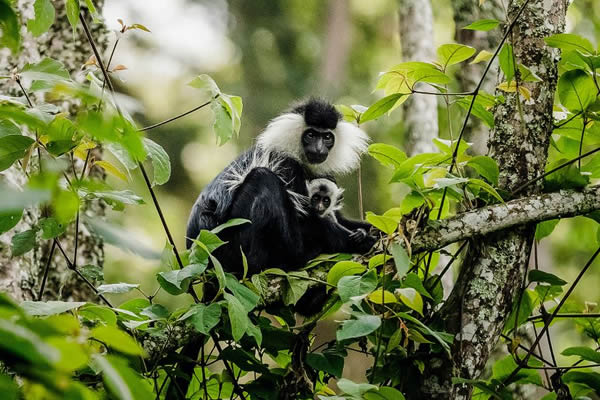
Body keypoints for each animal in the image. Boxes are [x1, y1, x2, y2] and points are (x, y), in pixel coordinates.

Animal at [188, 98, 376, 276]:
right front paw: (362, 241)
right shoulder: (288, 167)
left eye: (327, 137)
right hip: (230, 246)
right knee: (263, 178)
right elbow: (308, 220)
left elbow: (337, 217)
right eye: (311, 135)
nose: (319, 148)